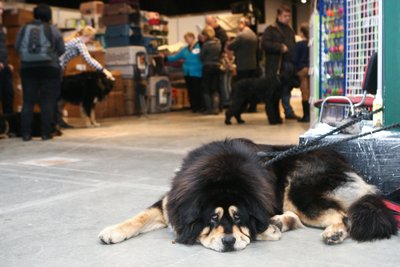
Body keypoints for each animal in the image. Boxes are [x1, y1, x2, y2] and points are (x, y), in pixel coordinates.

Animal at [99, 139, 396, 252]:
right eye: (212, 219)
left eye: (238, 217)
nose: (229, 242)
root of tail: (344, 161)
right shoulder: (168, 205)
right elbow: (139, 217)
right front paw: (113, 231)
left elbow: (255, 226)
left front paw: (262, 231)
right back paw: (280, 223)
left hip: (298, 191)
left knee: (343, 214)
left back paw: (333, 232)